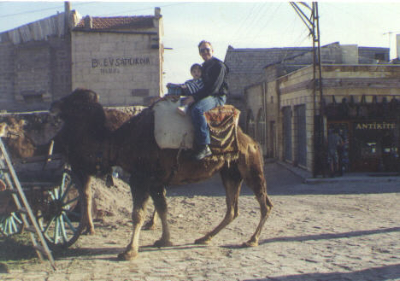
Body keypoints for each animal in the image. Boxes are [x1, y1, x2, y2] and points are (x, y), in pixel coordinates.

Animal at [48, 88, 270, 260]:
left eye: (74, 105)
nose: (54, 105)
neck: (120, 138)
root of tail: (251, 140)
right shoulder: (155, 181)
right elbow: (162, 208)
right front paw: (164, 240)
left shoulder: (141, 177)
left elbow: (137, 214)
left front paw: (129, 251)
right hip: (229, 172)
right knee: (232, 209)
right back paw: (205, 237)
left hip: (250, 167)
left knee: (264, 203)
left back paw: (252, 240)